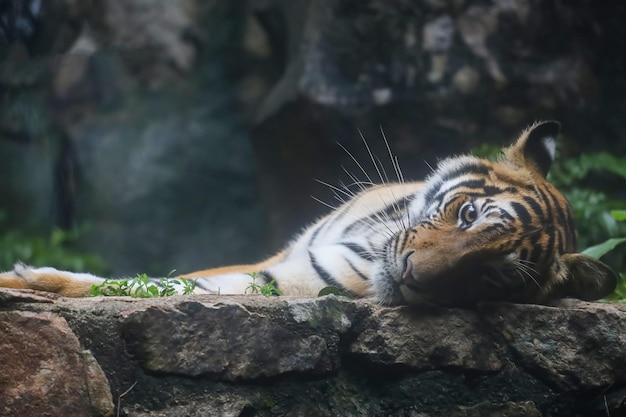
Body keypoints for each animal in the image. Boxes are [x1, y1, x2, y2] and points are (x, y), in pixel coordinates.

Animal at [0, 118, 616, 304]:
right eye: (468, 217)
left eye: (491, 275)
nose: (412, 275)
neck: (374, 237)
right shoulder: (272, 261)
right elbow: (165, 279)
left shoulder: (288, 280)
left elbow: (148, 286)